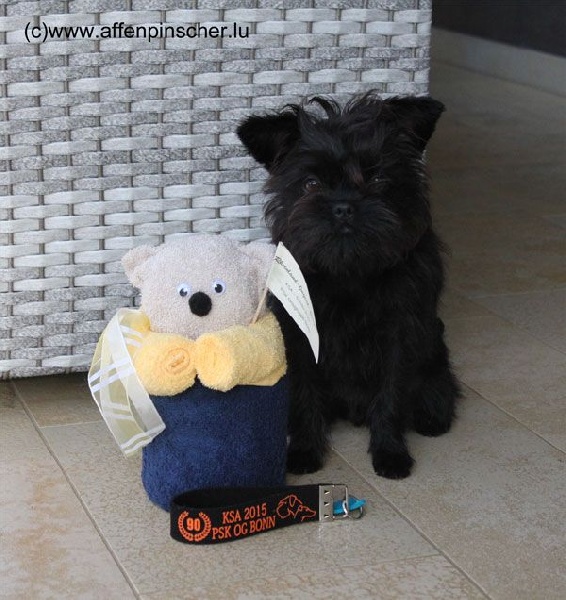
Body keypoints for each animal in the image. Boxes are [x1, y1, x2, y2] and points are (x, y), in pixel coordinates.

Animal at [236, 93, 460, 479]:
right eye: (311, 184)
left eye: (379, 178)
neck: (350, 271)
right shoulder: (301, 339)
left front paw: (390, 453)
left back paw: (431, 416)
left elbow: (391, 394)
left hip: (435, 364)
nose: (343, 206)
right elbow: (305, 391)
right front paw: (305, 450)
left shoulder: (400, 337)